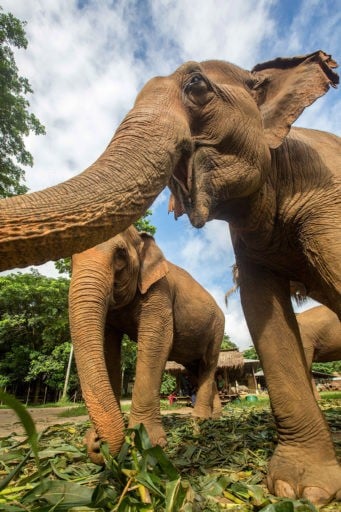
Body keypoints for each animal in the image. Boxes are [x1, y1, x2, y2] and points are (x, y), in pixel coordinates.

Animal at [68, 226, 224, 462]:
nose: (96, 441)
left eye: (120, 254)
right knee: (197, 369)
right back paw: (216, 416)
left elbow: (157, 341)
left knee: (208, 364)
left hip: (218, 328)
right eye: (71, 259)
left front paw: (147, 442)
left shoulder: (159, 292)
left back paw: (199, 419)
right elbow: (108, 350)